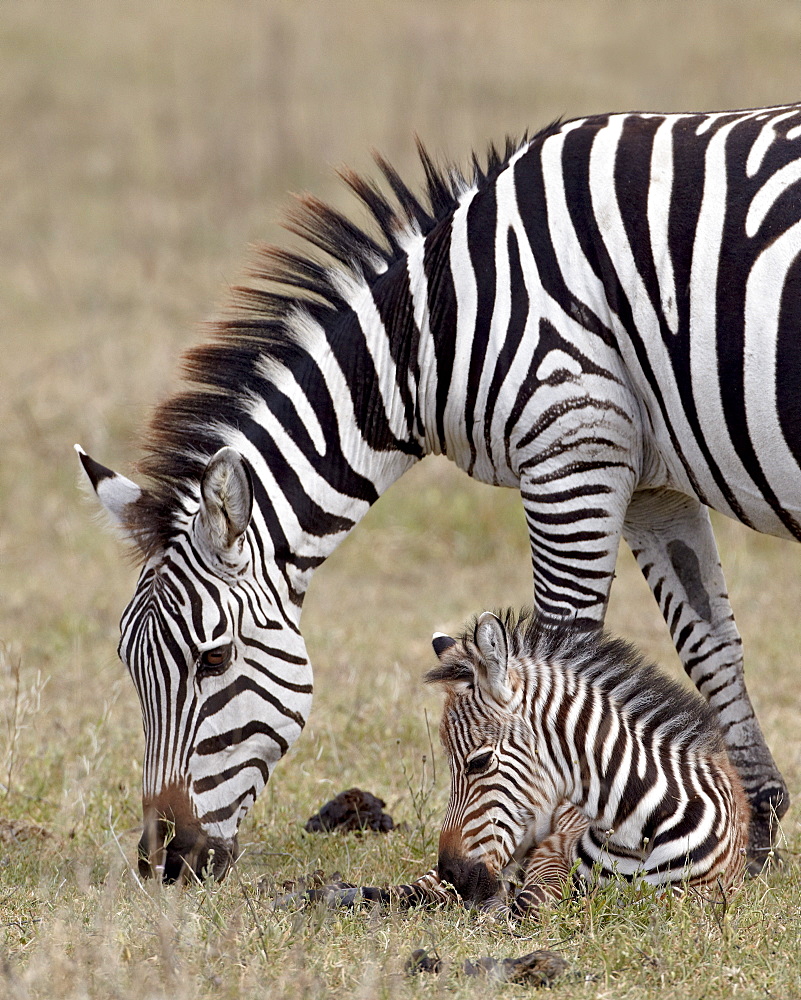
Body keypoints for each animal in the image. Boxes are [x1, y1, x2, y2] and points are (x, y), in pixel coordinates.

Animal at [73, 103, 792, 884]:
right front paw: (753, 835)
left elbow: (564, 642)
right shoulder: (651, 482)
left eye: (213, 658)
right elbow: (709, 642)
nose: (164, 861)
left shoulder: (570, 446)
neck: (443, 325)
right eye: (129, 665)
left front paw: (561, 853)